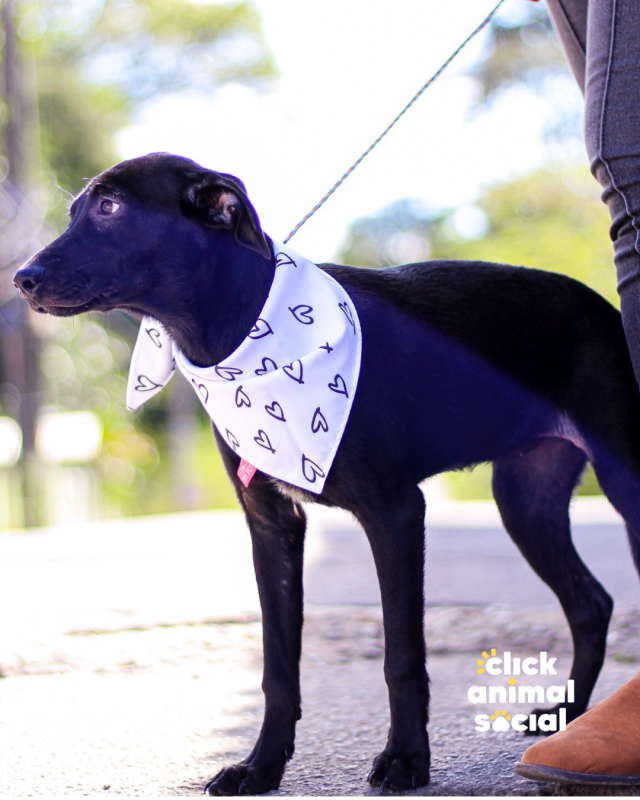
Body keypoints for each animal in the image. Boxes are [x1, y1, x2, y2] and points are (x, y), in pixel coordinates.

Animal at [12, 150, 640, 792]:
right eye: (76, 211)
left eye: (111, 208)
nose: (22, 279)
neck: (243, 331)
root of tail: (602, 305)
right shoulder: (271, 527)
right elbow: (277, 666)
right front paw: (261, 765)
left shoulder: (395, 512)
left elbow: (401, 655)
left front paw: (406, 760)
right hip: (525, 500)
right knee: (590, 604)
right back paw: (566, 718)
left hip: (623, 477)